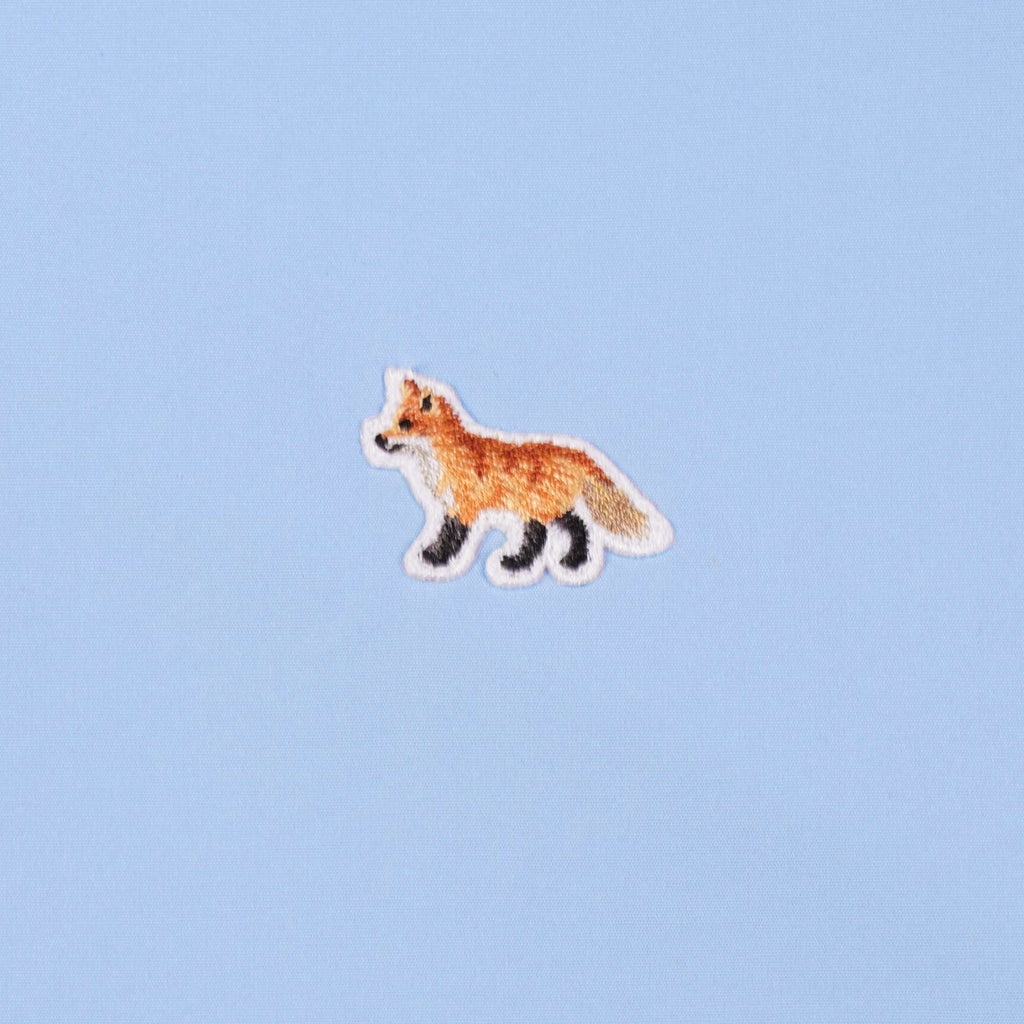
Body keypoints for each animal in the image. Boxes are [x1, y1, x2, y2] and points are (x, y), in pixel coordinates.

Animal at [361, 368, 673, 586]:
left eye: (405, 424)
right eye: (392, 420)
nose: (377, 439)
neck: (442, 459)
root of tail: (576, 452)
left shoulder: (464, 507)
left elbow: (451, 538)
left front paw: (436, 559)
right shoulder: (450, 507)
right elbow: (442, 533)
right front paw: (431, 554)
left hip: (537, 507)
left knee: (546, 536)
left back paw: (523, 565)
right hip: (547, 508)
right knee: (575, 528)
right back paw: (566, 562)